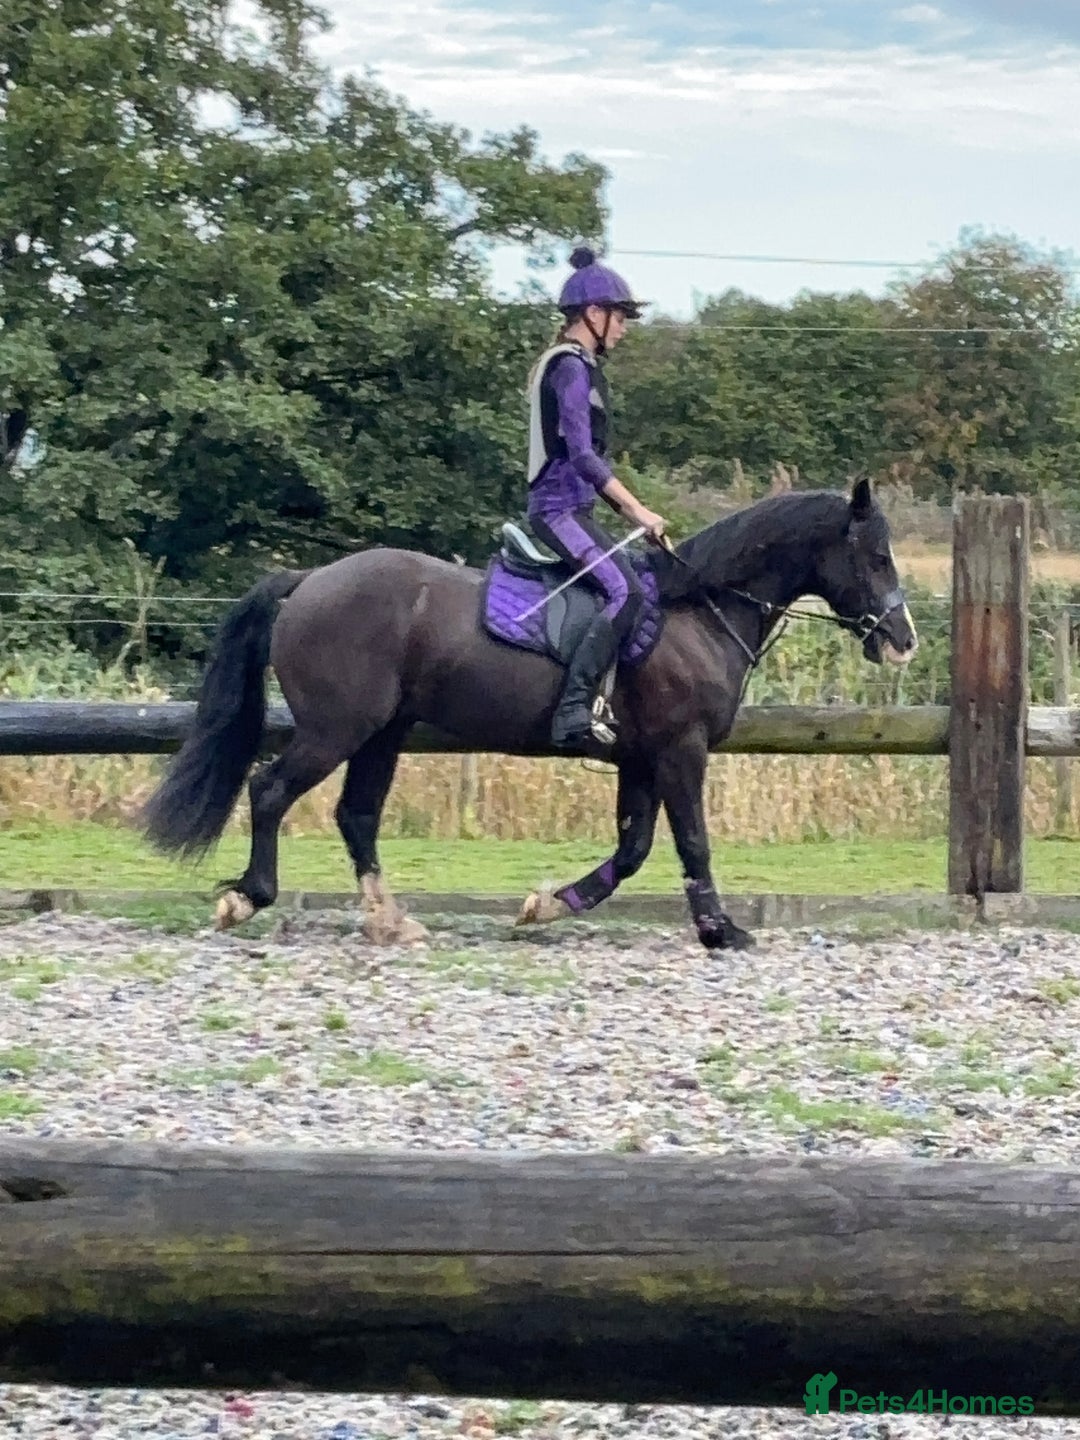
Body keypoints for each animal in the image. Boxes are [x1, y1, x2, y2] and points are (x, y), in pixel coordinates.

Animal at [139, 477, 918, 950]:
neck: (698, 610)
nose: (903, 640)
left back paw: (389, 920)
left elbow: (634, 850)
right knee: (271, 790)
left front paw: (548, 905)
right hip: (338, 729)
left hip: (383, 733)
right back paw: (248, 899)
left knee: (356, 814)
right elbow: (692, 842)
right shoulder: (680, 749)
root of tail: (309, 582)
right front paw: (720, 929)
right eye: (875, 556)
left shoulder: (640, 758)